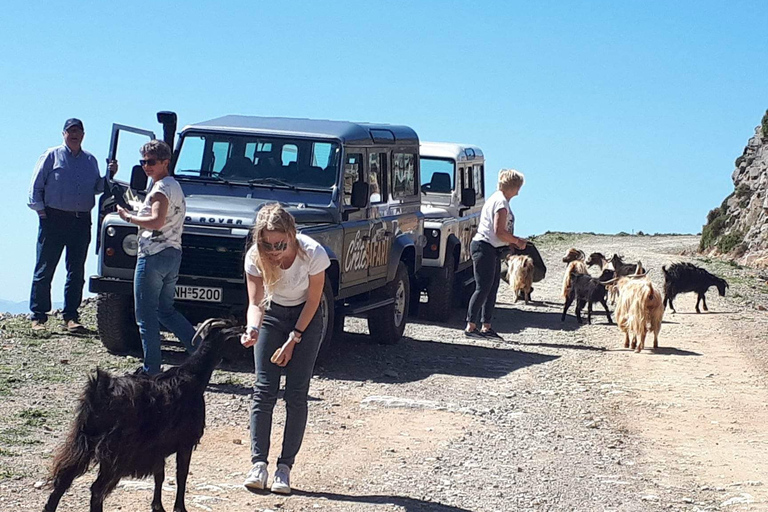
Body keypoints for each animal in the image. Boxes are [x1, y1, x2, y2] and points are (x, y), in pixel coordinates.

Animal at [42, 320, 240, 512]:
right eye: (235, 336)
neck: (193, 376)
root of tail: (100, 392)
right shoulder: (185, 441)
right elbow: (181, 475)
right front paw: (179, 508)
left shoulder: (158, 448)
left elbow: (160, 476)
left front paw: (158, 507)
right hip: (115, 453)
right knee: (97, 489)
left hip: (83, 440)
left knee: (64, 479)